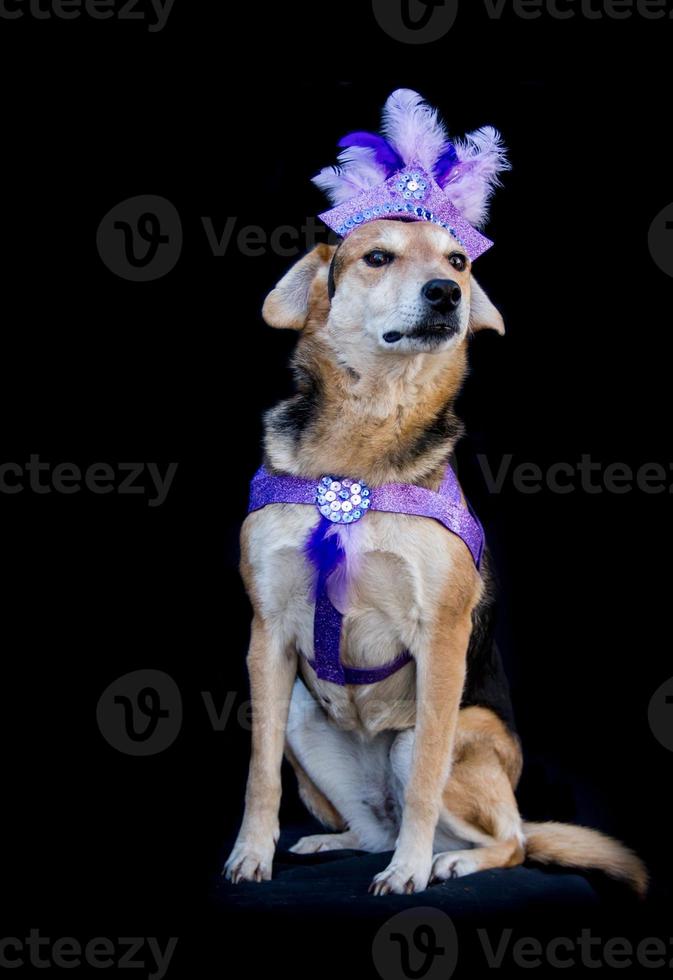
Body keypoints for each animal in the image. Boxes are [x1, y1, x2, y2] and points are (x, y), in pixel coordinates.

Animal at [224, 220, 644, 896]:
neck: (362, 448)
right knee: (375, 828)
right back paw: (329, 840)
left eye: (459, 261)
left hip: (451, 744)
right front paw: (252, 855)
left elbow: (425, 775)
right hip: (299, 716)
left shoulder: (441, 636)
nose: (447, 293)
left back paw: (447, 860)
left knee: (513, 841)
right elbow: (259, 773)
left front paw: (410, 871)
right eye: (377, 257)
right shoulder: (268, 633)